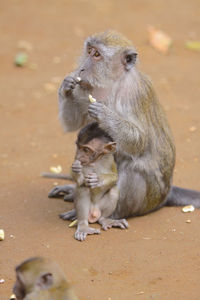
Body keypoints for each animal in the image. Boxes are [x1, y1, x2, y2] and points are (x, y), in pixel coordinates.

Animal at [48, 29, 200, 218]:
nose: (82, 68)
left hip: (148, 199)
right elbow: (73, 123)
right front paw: (66, 87)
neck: (114, 83)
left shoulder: (135, 95)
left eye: (97, 55)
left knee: (133, 168)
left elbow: (139, 140)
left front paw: (105, 114)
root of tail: (166, 194)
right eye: (89, 50)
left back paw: (108, 215)